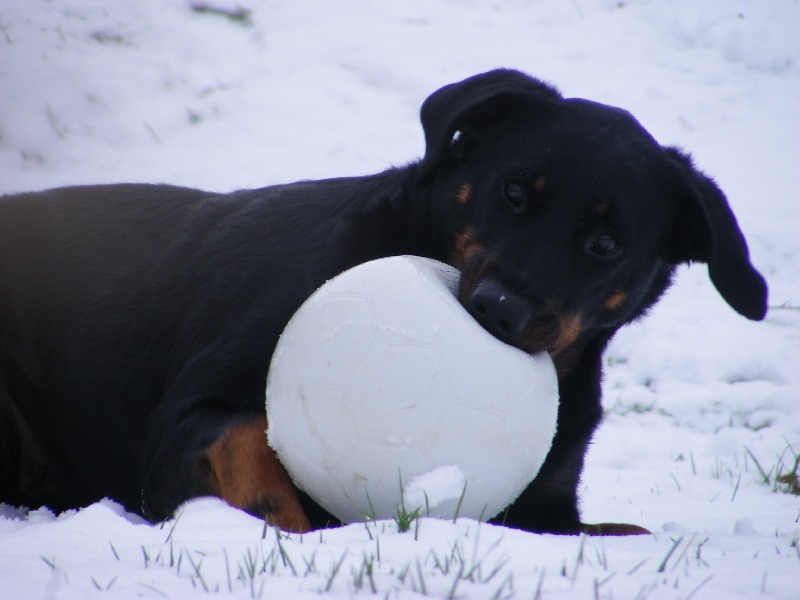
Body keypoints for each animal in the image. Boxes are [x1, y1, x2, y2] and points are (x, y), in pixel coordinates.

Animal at [0, 69, 764, 536]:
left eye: (606, 243)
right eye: (515, 190)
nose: (500, 309)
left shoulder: (548, 508)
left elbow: (618, 529)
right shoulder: (189, 416)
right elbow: (258, 465)